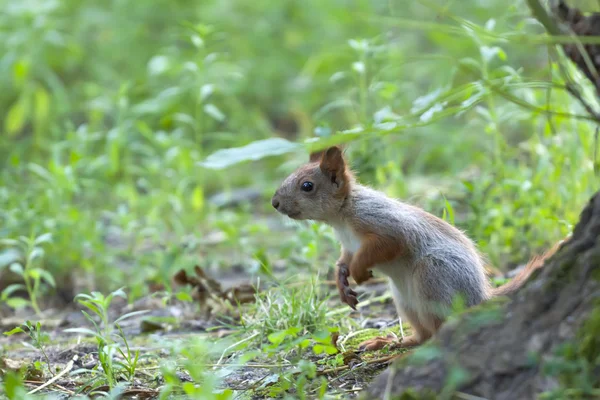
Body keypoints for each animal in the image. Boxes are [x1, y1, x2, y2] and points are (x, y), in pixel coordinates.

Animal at [270, 146, 564, 350]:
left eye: (307, 186)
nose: (274, 203)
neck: (340, 217)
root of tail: (479, 298)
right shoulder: (348, 245)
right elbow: (343, 259)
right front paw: (341, 280)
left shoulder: (384, 223)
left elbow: (385, 245)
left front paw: (359, 271)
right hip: (404, 300)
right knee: (422, 335)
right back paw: (391, 343)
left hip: (432, 276)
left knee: (439, 331)